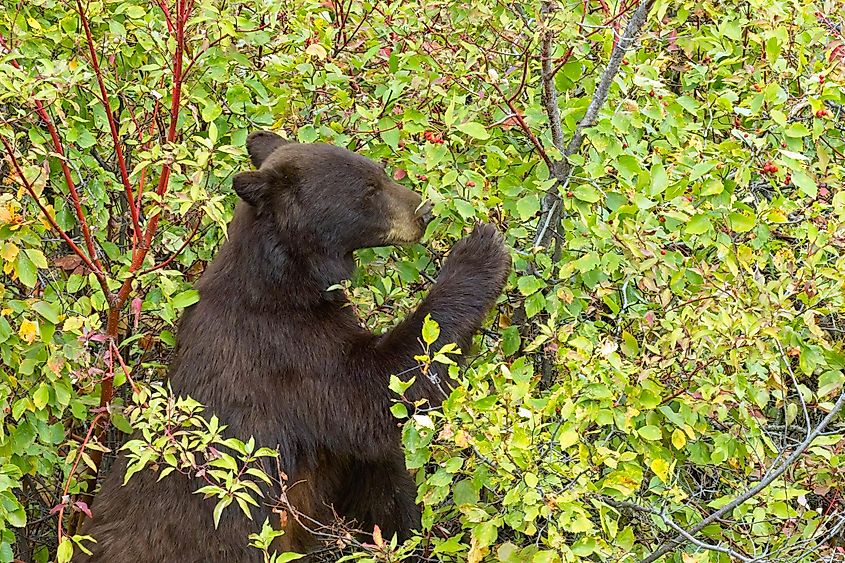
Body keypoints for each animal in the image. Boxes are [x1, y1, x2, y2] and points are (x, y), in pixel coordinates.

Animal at [77, 131, 508, 560]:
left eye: (382, 172)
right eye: (369, 190)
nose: (425, 211)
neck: (287, 282)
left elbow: (378, 477)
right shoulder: (288, 351)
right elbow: (375, 392)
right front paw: (480, 251)